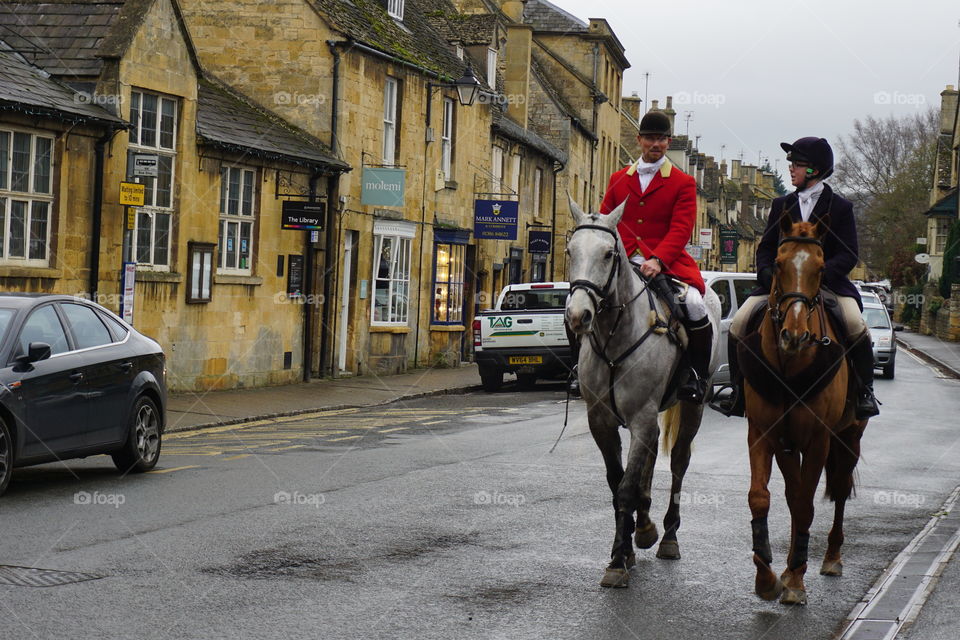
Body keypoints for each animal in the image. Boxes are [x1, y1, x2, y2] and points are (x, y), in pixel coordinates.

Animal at [564, 198, 720, 588]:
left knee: (678, 461)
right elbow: (617, 482)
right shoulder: (601, 421)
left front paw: (618, 562)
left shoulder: (641, 418)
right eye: (570, 251)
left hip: (692, 406)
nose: (578, 315)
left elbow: (625, 487)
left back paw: (667, 537)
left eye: (608, 254)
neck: (614, 334)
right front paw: (626, 549)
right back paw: (646, 527)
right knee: (647, 463)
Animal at [740, 216, 868, 604]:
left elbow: (807, 504)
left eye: (821, 268)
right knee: (795, 494)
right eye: (779, 264)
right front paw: (768, 577)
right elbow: (763, 498)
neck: (789, 366)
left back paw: (830, 557)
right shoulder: (766, 434)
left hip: (848, 438)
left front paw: (796, 580)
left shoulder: (818, 440)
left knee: (837, 490)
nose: (793, 335)